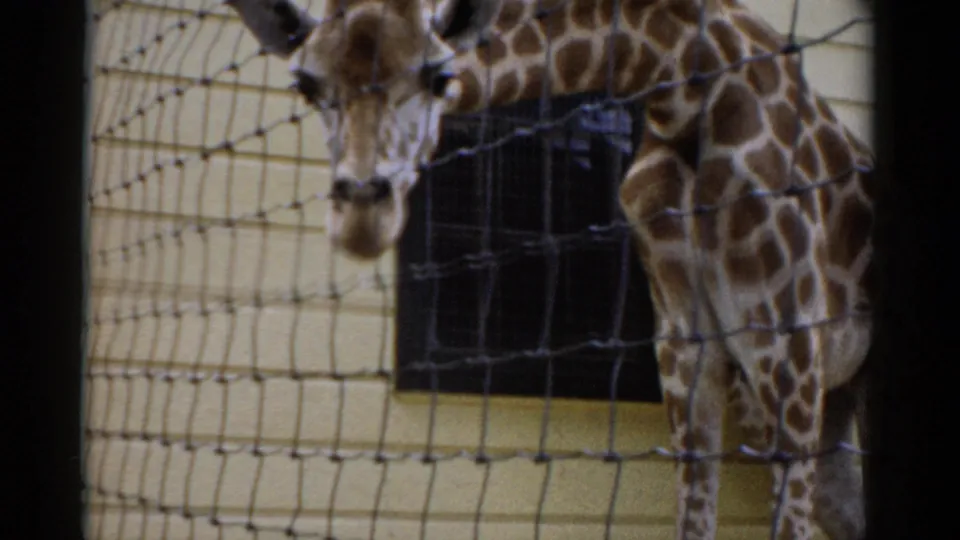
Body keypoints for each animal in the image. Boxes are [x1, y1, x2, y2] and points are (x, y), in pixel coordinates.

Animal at [227, 0, 875, 538]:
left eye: (438, 75)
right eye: (306, 84)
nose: (362, 213)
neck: (685, 89)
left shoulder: (790, 338)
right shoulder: (687, 346)